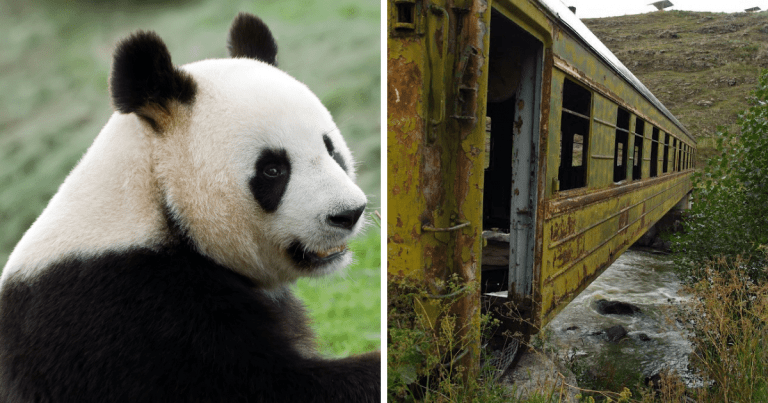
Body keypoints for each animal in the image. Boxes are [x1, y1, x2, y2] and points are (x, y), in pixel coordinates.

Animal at [0, 13, 379, 403]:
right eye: (273, 169)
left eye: (331, 149)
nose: (348, 213)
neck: (154, 197)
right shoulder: (125, 312)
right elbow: (271, 386)